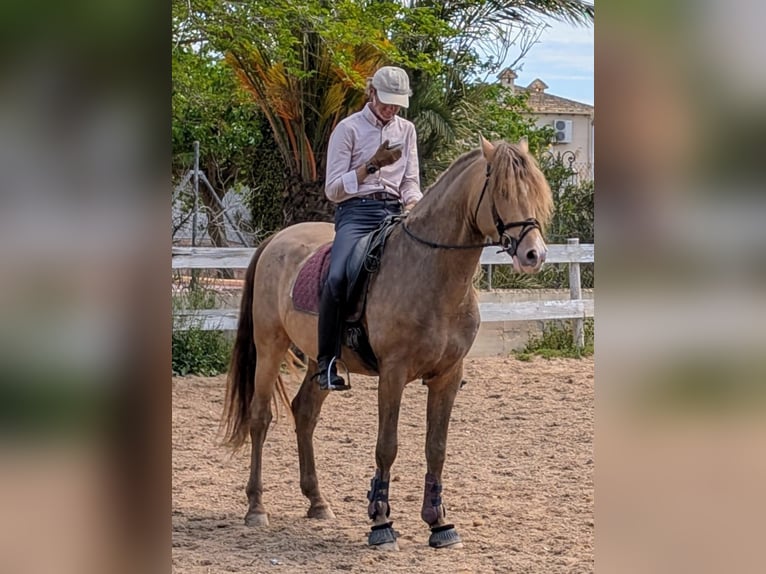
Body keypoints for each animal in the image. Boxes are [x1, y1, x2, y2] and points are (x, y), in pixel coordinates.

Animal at [221, 136, 553, 550]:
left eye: (536, 191)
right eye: (504, 191)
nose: (533, 255)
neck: (431, 274)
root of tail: (276, 240)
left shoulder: (447, 376)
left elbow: (436, 448)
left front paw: (439, 523)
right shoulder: (393, 375)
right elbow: (387, 445)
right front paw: (381, 522)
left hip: (320, 360)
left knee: (305, 413)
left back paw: (317, 502)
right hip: (270, 347)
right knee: (260, 417)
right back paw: (256, 508)